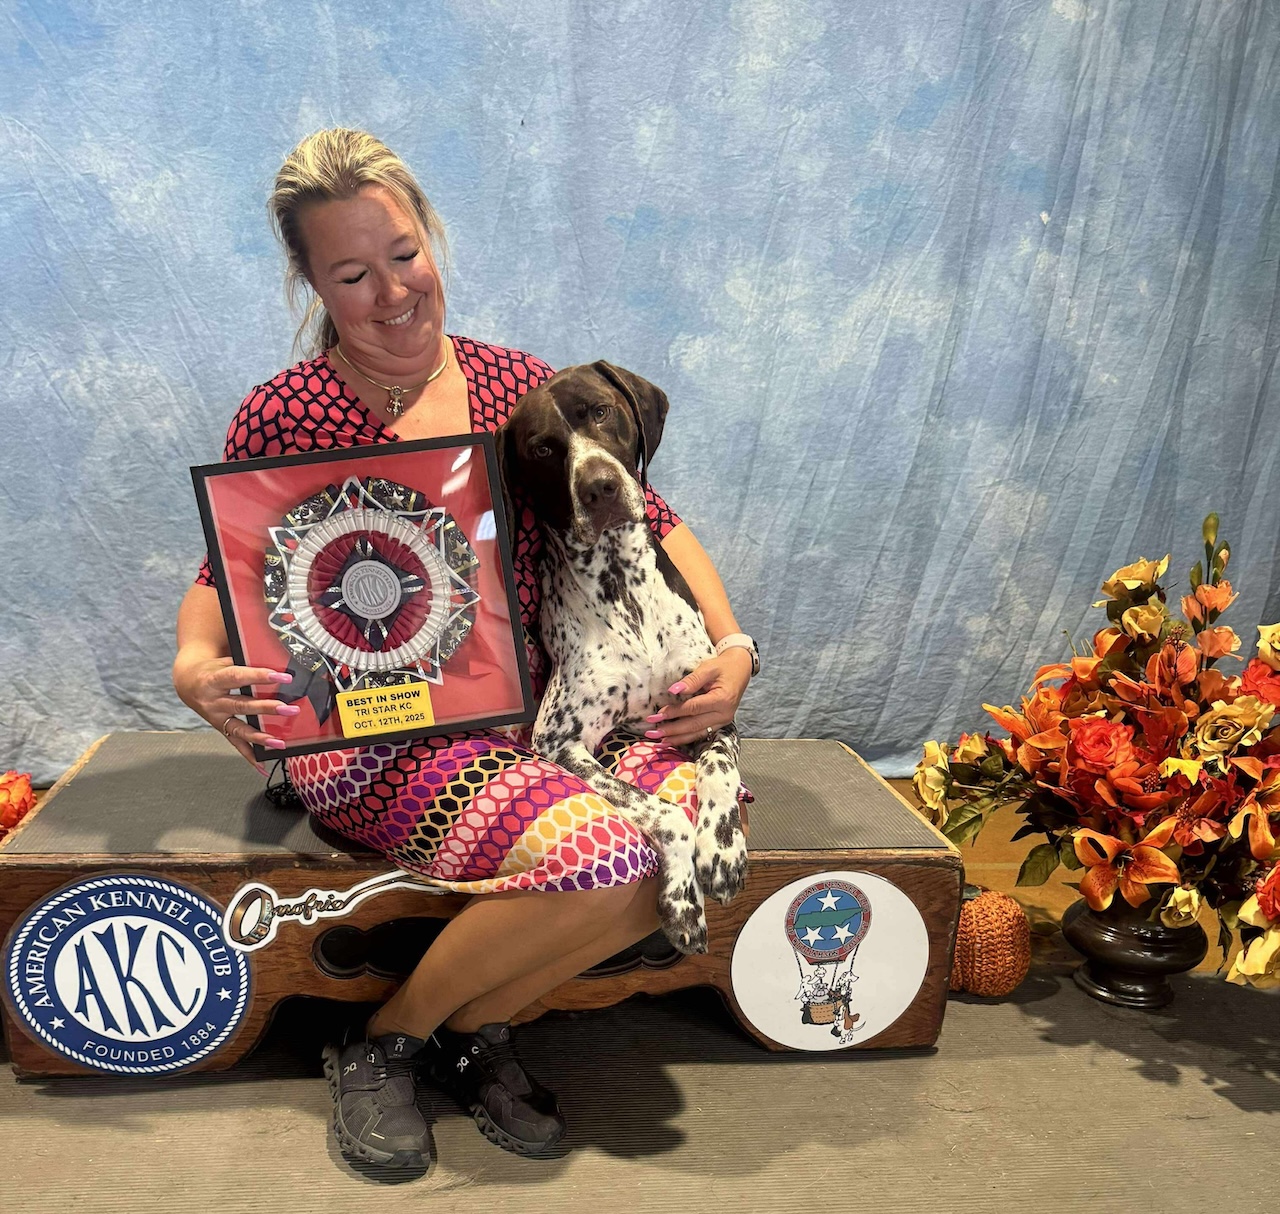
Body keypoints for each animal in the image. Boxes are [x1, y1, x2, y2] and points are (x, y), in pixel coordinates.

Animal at [496, 361, 748, 954]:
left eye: (601, 410)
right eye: (543, 448)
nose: (600, 487)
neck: (623, 586)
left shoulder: (710, 711)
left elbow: (719, 771)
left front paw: (722, 849)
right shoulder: (560, 741)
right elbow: (664, 813)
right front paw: (683, 899)